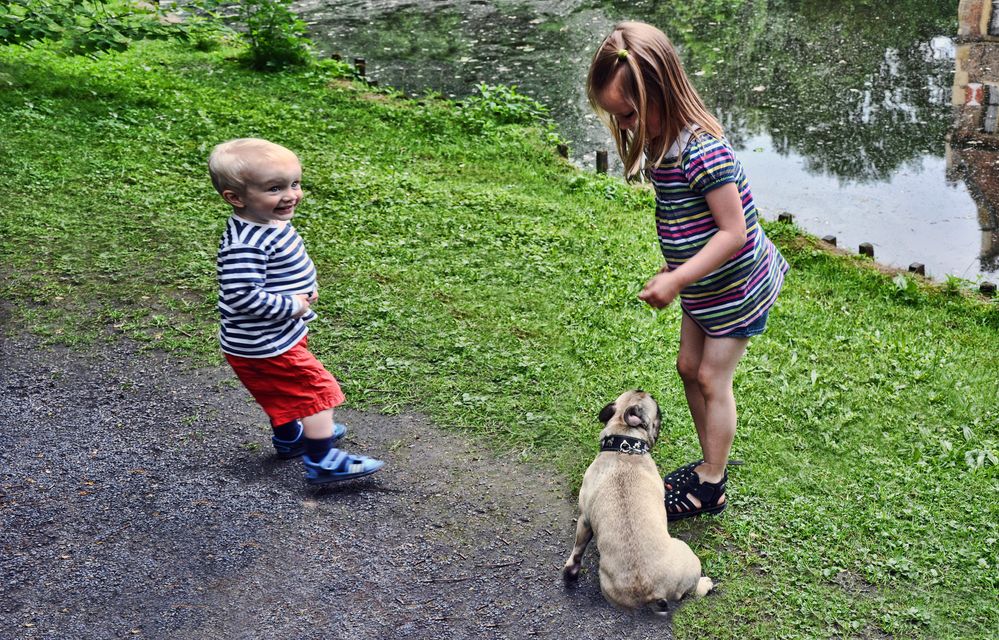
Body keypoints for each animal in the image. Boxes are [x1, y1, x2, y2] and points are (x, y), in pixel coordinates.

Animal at [564, 388, 712, 612]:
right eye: (657, 410)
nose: (646, 390)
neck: (624, 444)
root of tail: (652, 593)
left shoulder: (584, 519)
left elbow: (577, 550)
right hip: (688, 556)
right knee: (694, 590)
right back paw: (706, 584)